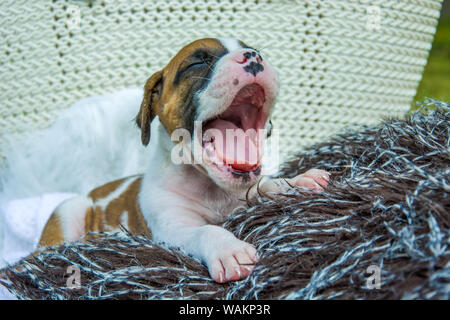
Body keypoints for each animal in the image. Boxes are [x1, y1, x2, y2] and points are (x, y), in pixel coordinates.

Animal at [37, 38, 328, 282]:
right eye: (197, 62)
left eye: (253, 50)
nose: (253, 57)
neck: (212, 188)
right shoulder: (173, 228)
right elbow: (204, 231)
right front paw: (228, 249)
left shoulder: (248, 189)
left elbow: (266, 184)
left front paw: (297, 181)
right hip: (70, 210)